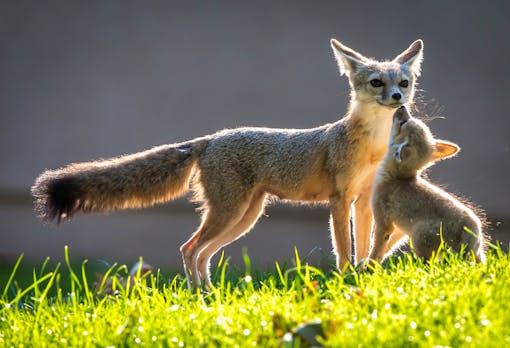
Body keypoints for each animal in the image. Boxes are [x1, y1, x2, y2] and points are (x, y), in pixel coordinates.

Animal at [29, 38, 424, 288]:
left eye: (403, 82)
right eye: (377, 83)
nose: (397, 97)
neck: (372, 146)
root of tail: (212, 138)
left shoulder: (363, 200)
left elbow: (366, 245)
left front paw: (364, 273)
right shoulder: (339, 200)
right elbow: (344, 247)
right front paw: (346, 279)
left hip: (243, 217)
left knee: (201, 253)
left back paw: (207, 294)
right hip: (231, 214)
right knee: (189, 249)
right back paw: (197, 296)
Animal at [366, 106, 486, 264]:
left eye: (403, 123)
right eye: (406, 120)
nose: (402, 107)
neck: (399, 177)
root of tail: (471, 231)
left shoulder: (383, 222)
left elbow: (376, 250)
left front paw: (368, 267)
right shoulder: (398, 230)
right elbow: (388, 249)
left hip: (418, 238)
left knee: (428, 265)